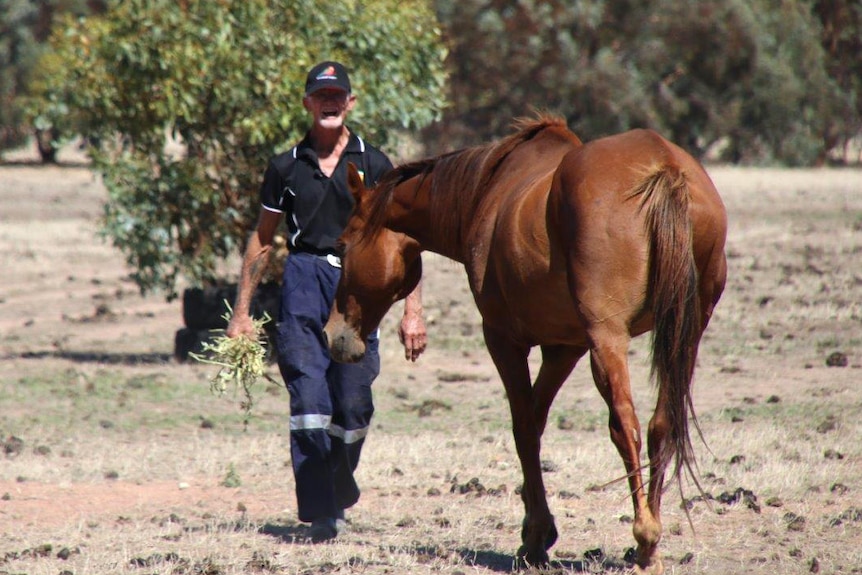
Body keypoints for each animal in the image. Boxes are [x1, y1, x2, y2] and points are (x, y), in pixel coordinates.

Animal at [324, 117, 728, 575]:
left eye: (341, 245)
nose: (334, 335)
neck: (487, 190)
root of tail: (665, 167)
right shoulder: (563, 348)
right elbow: (535, 421)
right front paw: (536, 530)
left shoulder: (503, 340)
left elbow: (523, 429)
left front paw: (535, 538)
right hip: (686, 336)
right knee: (663, 424)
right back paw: (651, 539)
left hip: (608, 340)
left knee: (625, 425)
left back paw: (644, 538)